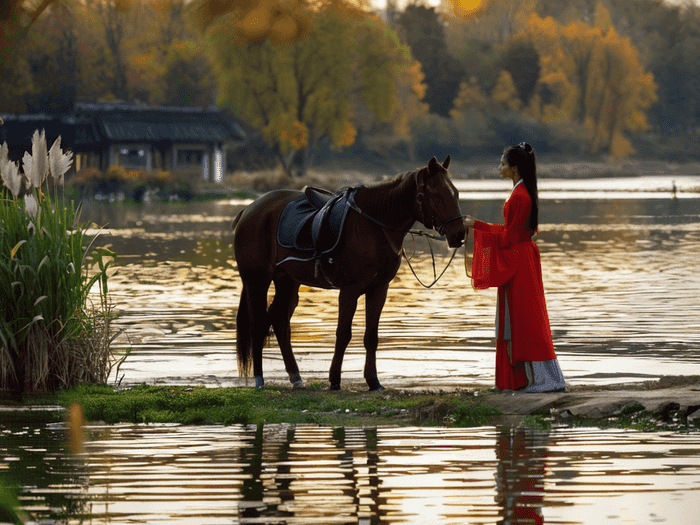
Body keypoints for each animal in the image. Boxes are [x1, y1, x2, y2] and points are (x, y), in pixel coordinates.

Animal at [232, 156, 468, 388]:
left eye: (456, 193)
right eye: (436, 194)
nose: (459, 234)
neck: (374, 226)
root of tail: (248, 210)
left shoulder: (378, 290)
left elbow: (371, 337)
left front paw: (373, 381)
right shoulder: (349, 291)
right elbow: (343, 334)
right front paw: (335, 379)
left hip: (288, 282)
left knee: (279, 321)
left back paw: (296, 377)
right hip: (257, 282)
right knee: (258, 325)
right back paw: (259, 379)